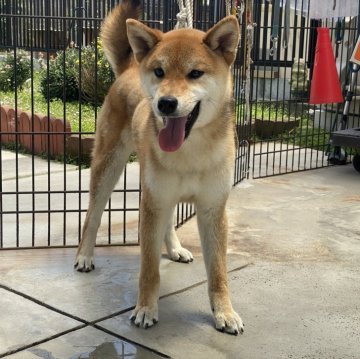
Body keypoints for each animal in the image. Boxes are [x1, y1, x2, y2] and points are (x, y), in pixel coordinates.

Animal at [76, 0, 245, 334]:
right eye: (159, 71)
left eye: (195, 73)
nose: (165, 103)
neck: (190, 151)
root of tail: (130, 68)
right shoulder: (152, 205)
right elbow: (149, 269)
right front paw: (145, 308)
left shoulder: (211, 209)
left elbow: (218, 272)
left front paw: (224, 312)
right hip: (109, 169)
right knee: (92, 216)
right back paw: (85, 256)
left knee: (168, 220)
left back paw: (175, 248)